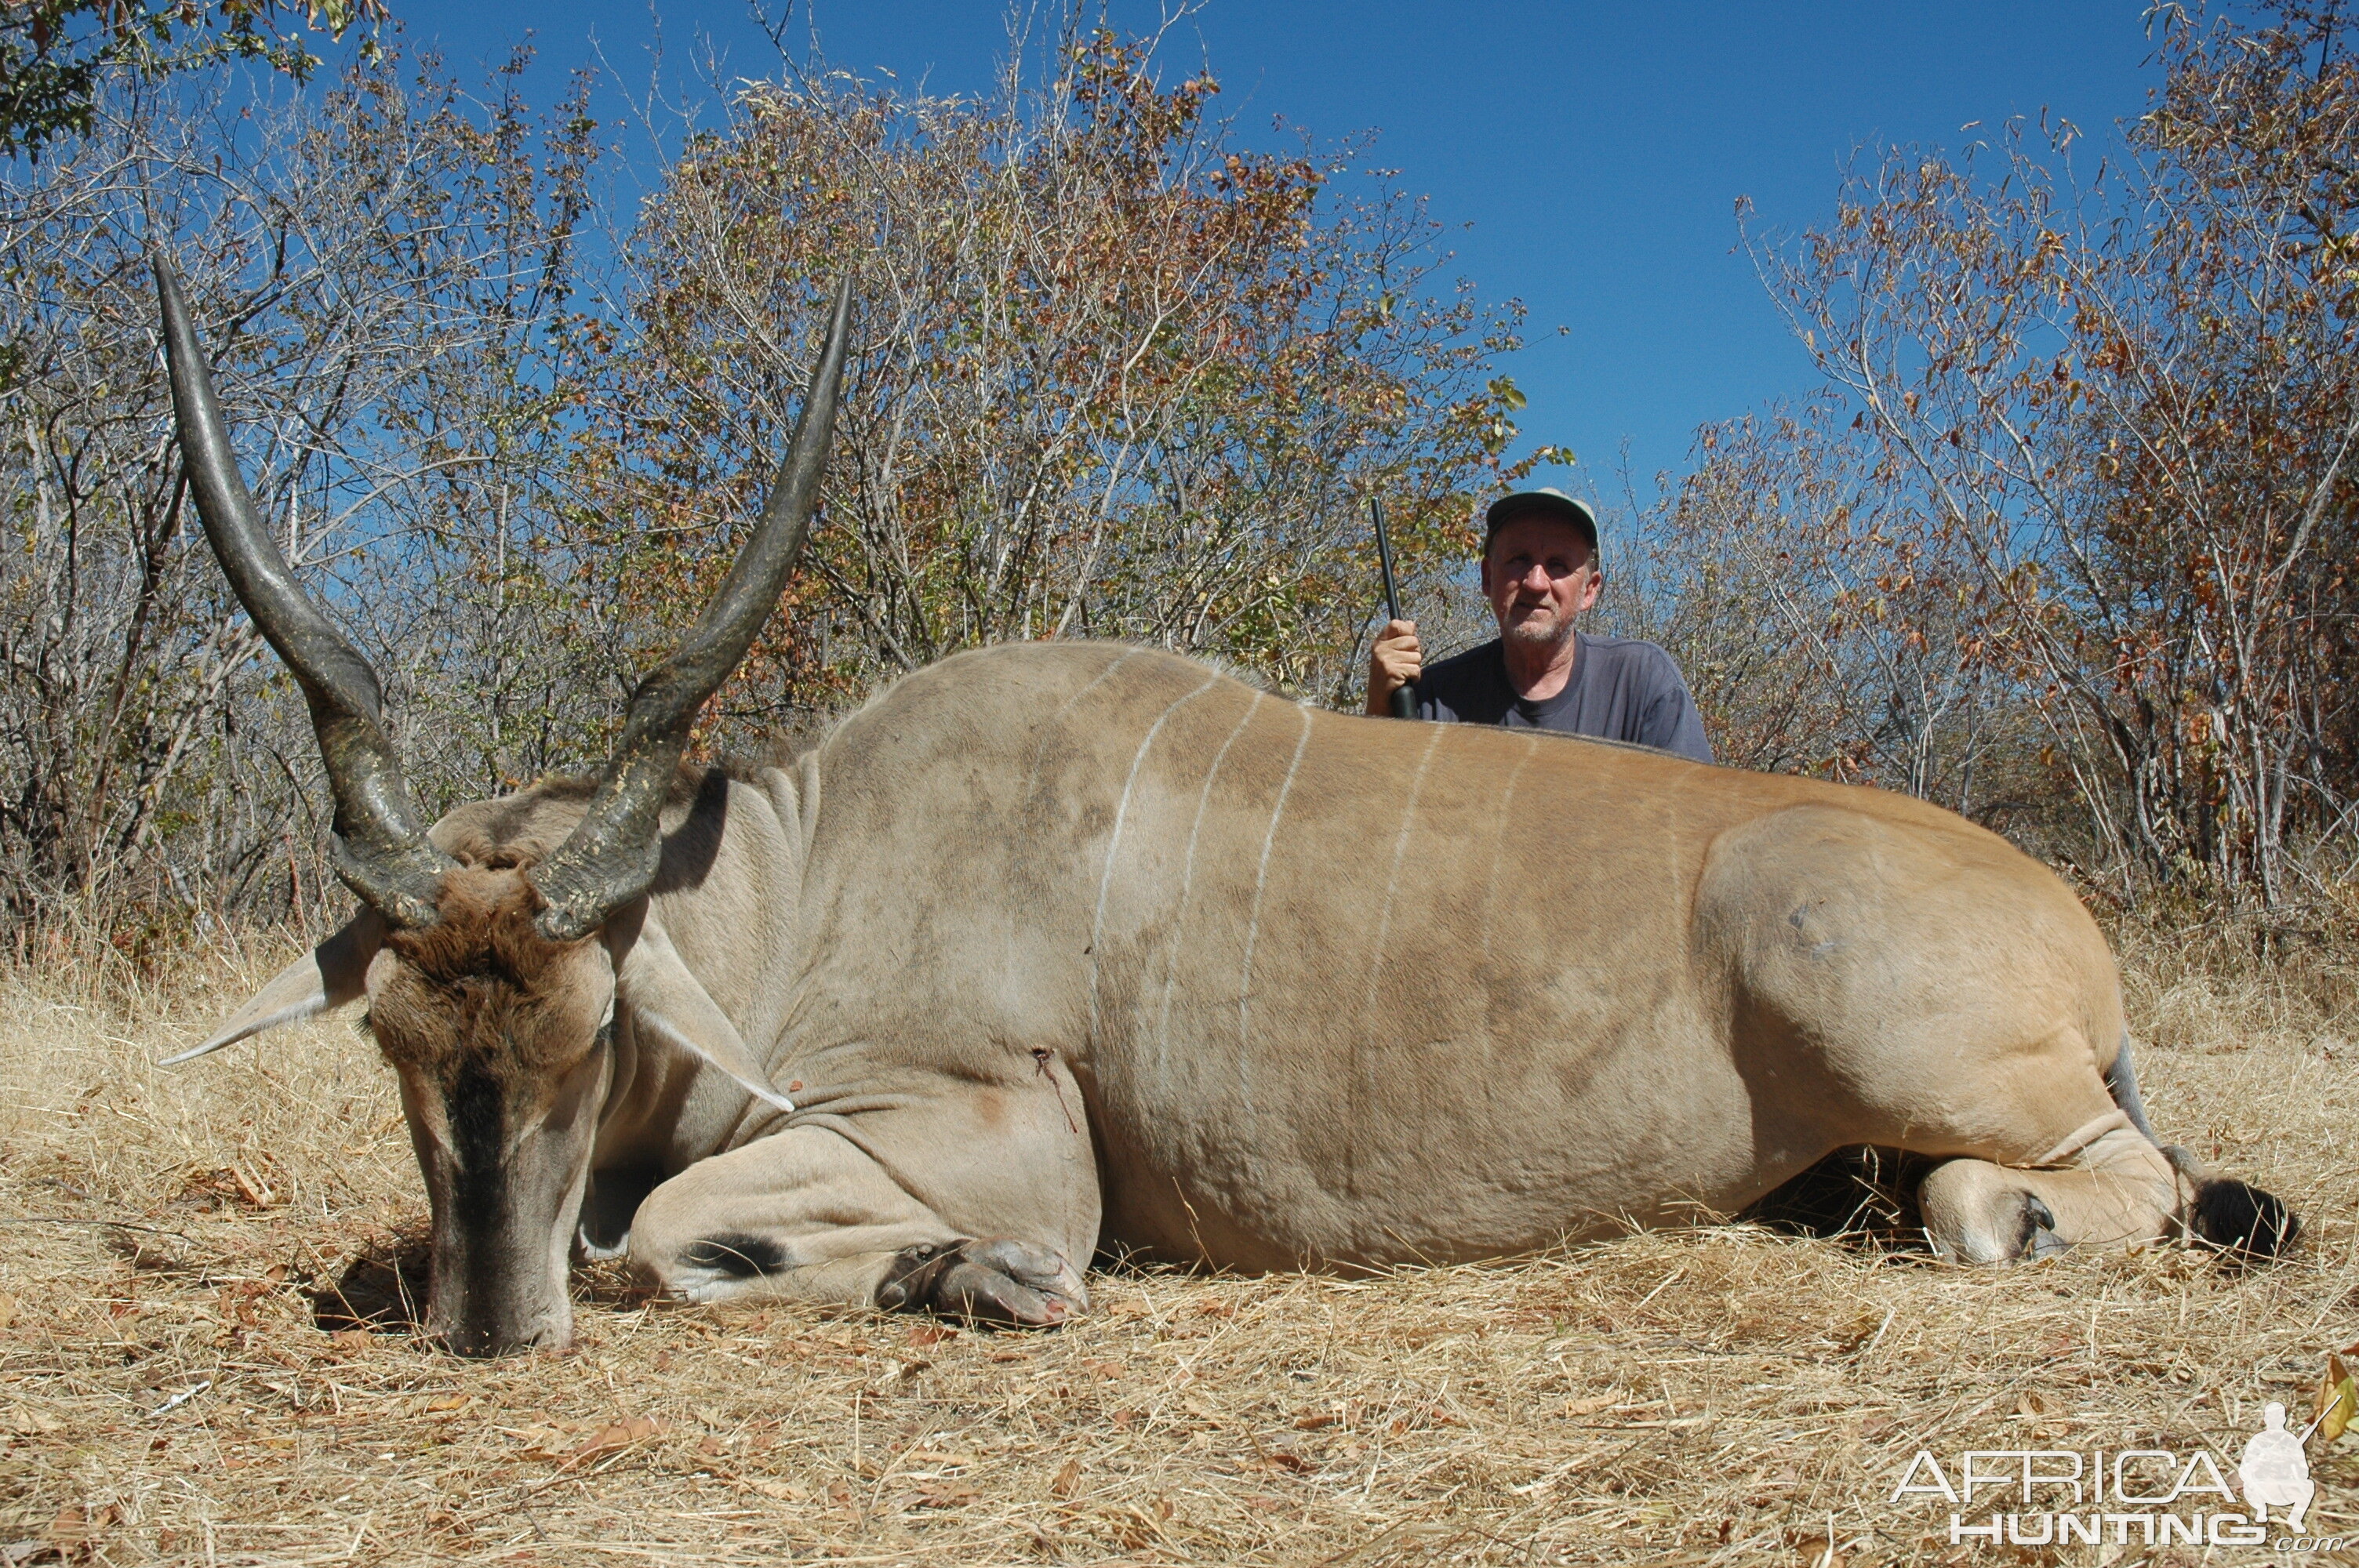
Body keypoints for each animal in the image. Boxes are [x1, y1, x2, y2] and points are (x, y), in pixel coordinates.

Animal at [152, 259, 2283, 1358]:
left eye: (596, 1033)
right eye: (396, 1044)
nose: (489, 1327)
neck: (802, 866)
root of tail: (2058, 923)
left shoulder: (998, 1140)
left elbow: (667, 1228)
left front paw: (968, 1276)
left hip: (1938, 1059)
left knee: (2074, 1185)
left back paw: (2001, 1212)